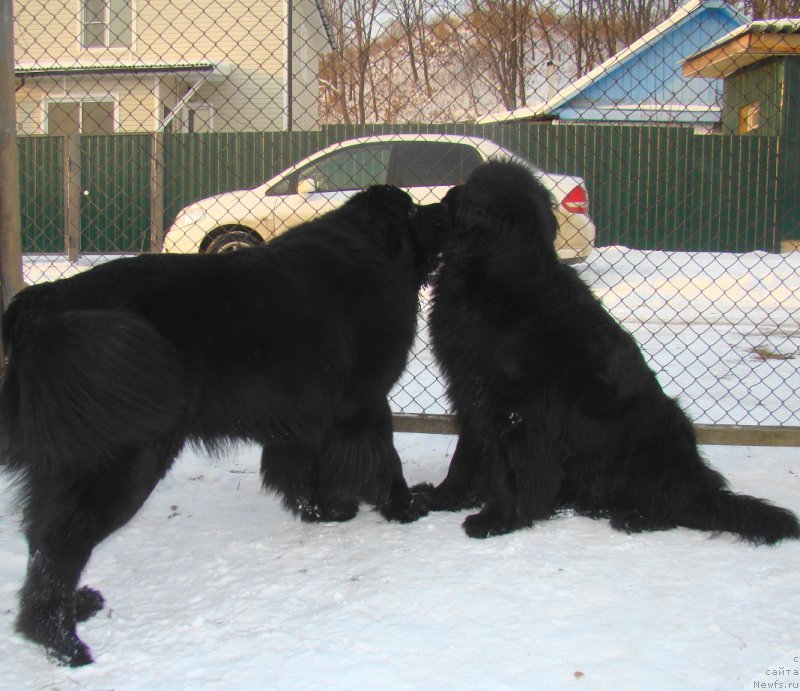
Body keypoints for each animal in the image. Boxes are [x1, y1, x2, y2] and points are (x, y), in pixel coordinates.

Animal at [0, 184, 444, 664]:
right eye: (414, 210)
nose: (448, 207)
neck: (373, 252)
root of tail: (45, 303)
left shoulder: (304, 414)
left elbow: (302, 470)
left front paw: (324, 512)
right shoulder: (366, 401)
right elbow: (384, 461)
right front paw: (406, 507)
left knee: (41, 537)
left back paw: (74, 609)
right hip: (122, 461)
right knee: (59, 544)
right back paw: (62, 641)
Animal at [416, 161, 796, 548]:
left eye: (469, 188)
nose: (445, 196)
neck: (496, 278)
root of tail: (702, 488)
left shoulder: (517, 408)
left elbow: (507, 469)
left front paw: (497, 518)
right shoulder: (470, 388)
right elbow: (466, 453)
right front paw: (444, 496)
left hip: (652, 443)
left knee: (676, 506)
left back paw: (636, 518)